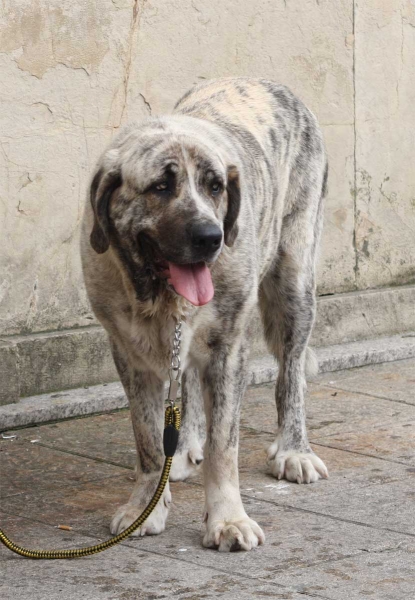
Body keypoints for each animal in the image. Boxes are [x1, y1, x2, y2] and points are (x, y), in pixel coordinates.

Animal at [80, 77, 328, 552]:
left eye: (216, 187)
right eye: (160, 187)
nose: (211, 237)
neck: (159, 296)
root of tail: (266, 81)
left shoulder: (228, 350)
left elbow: (223, 447)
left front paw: (227, 519)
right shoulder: (129, 353)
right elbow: (147, 437)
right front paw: (147, 506)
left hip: (293, 281)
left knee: (290, 374)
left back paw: (293, 450)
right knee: (188, 381)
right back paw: (182, 448)